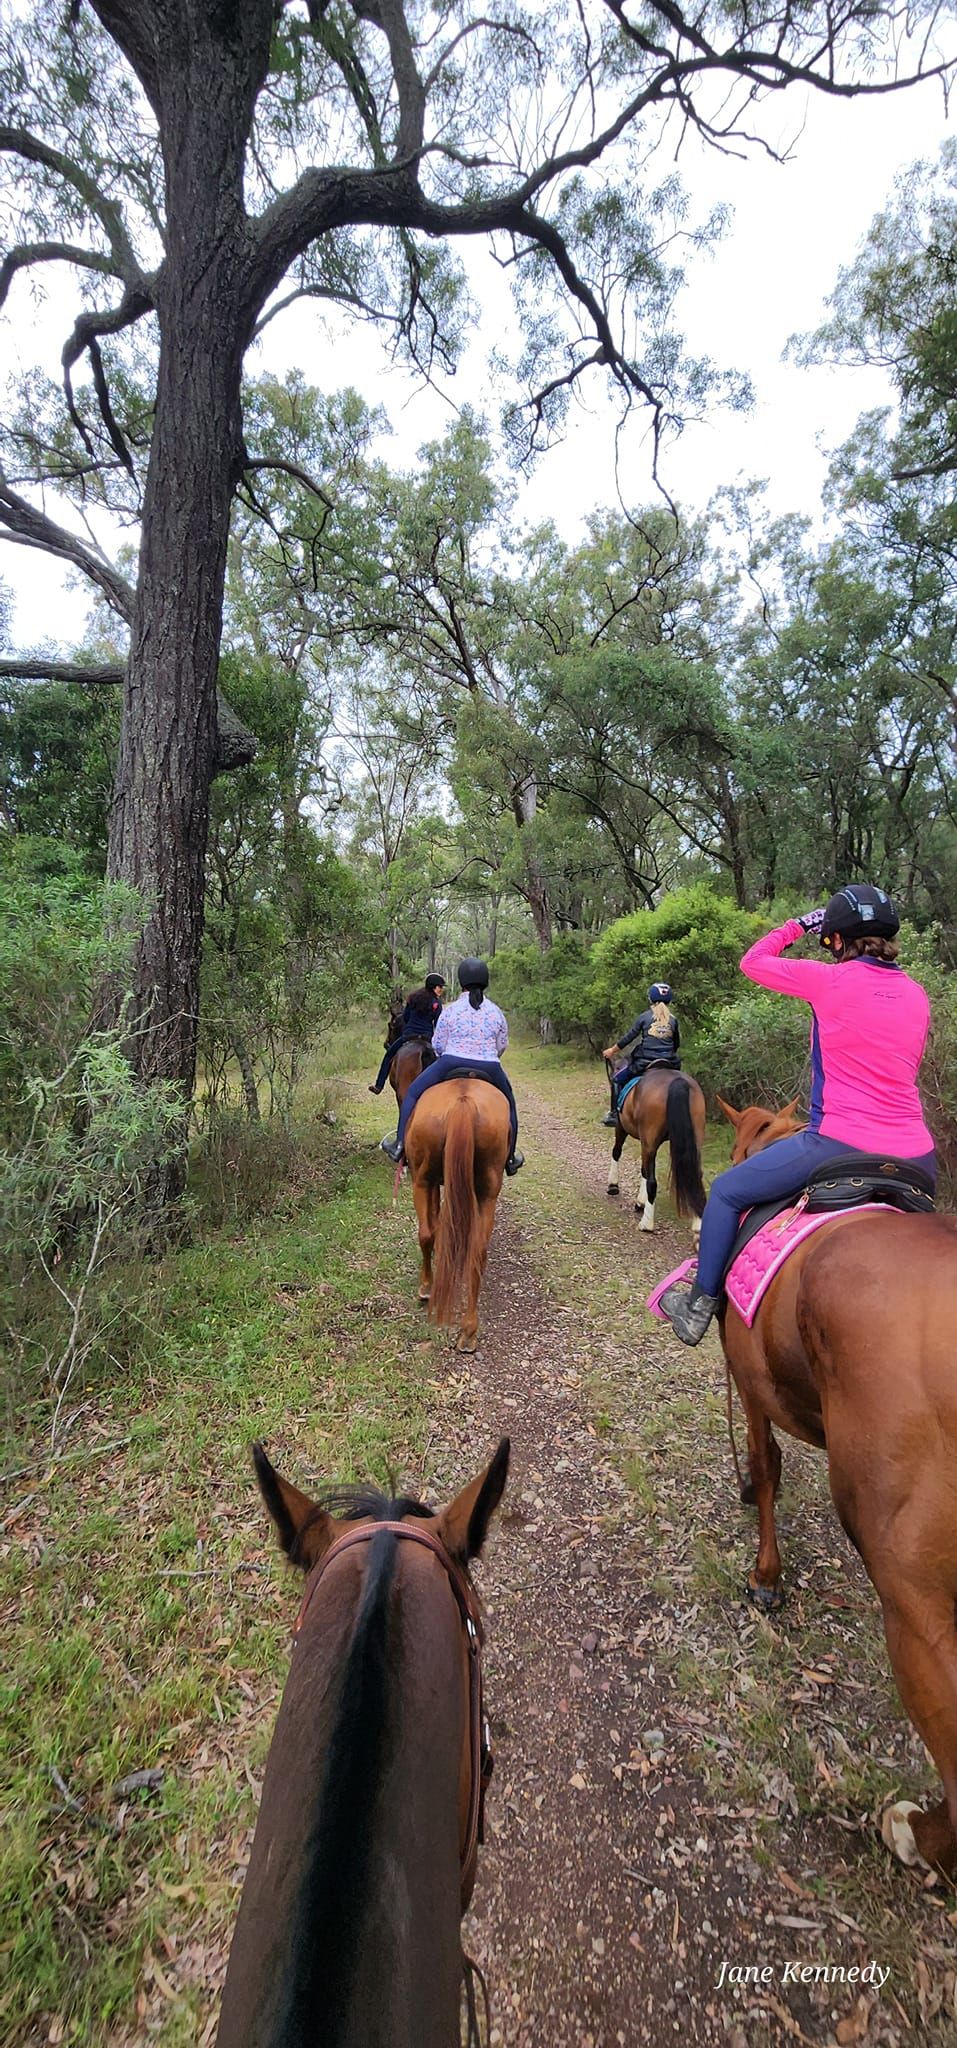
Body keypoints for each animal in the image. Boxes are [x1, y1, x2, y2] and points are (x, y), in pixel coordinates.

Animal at [403, 1081, 512, 1351]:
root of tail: (463, 1102)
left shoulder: (429, 1182)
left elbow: (433, 1225)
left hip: (421, 1181)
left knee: (425, 1234)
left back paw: (426, 1287)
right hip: (487, 1192)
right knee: (478, 1251)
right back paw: (469, 1331)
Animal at [610, 1064, 709, 1236]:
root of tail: (678, 1082)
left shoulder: (622, 1127)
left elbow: (617, 1152)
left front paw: (613, 1186)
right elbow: (643, 1169)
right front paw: (640, 1202)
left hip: (648, 1139)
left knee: (652, 1181)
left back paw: (646, 1224)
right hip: (695, 1137)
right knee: (694, 1175)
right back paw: (698, 1223)